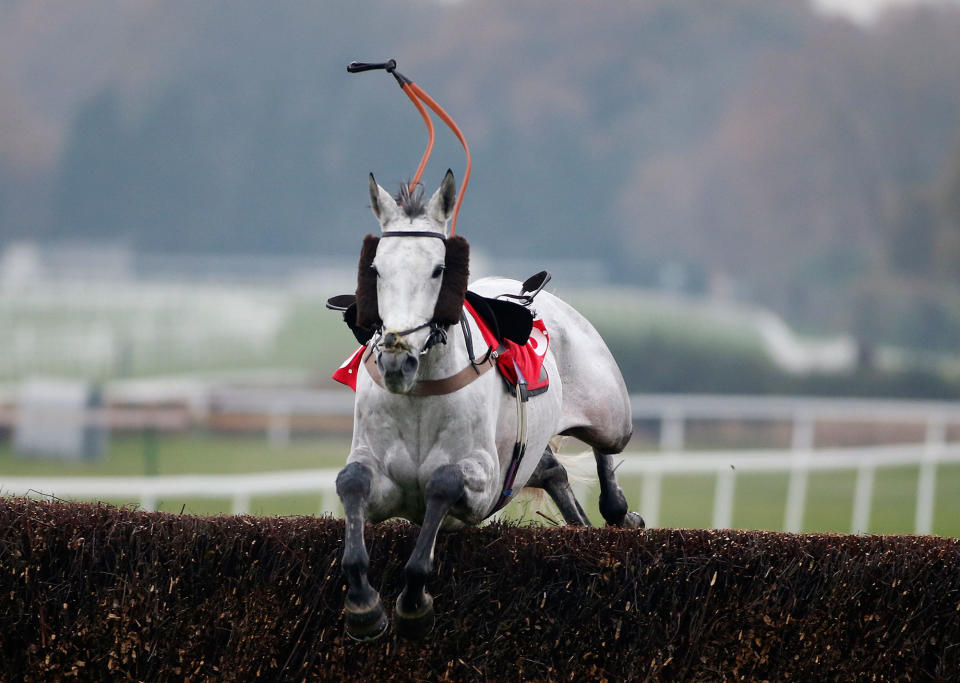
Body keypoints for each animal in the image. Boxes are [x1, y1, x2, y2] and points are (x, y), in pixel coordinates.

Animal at [334, 171, 640, 640]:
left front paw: (414, 601)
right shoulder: (380, 476)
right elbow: (351, 482)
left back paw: (622, 514)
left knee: (606, 450)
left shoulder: (483, 482)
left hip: (610, 413)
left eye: (438, 269)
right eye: (376, 269)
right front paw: (364, 605)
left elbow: (442, 484)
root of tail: (528, 290)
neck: (421, 392)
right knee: (553, 470)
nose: (397, 360)